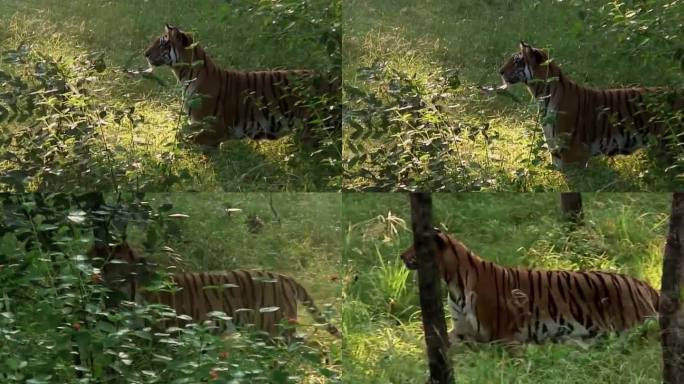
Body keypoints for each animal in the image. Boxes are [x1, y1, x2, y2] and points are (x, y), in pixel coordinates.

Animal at [143, 24, 340, 147]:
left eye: (162, 43)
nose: (145, 53)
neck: (185, 75)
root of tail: (331, 79)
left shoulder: (212, 130)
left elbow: (181, 140)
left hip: (316, 129)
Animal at [400, 230, 656, 344]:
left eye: (416, 246)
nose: (401, 255)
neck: (453, 282)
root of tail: (644, 283)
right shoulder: (461, 330)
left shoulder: (499, 336)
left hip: (628, 324)